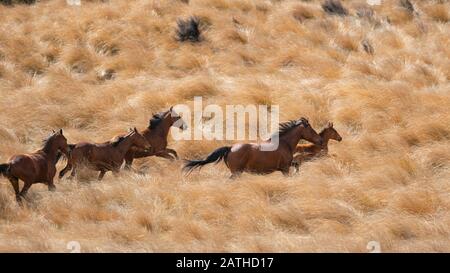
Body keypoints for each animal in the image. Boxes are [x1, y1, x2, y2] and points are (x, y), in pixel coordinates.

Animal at [183, 117, 324, 178]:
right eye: (310, 128)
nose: (321, 140)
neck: (285, 143)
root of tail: (230, 148)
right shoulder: (285, 169)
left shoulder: (286, 166)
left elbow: (297, 165)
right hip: (237, 173)